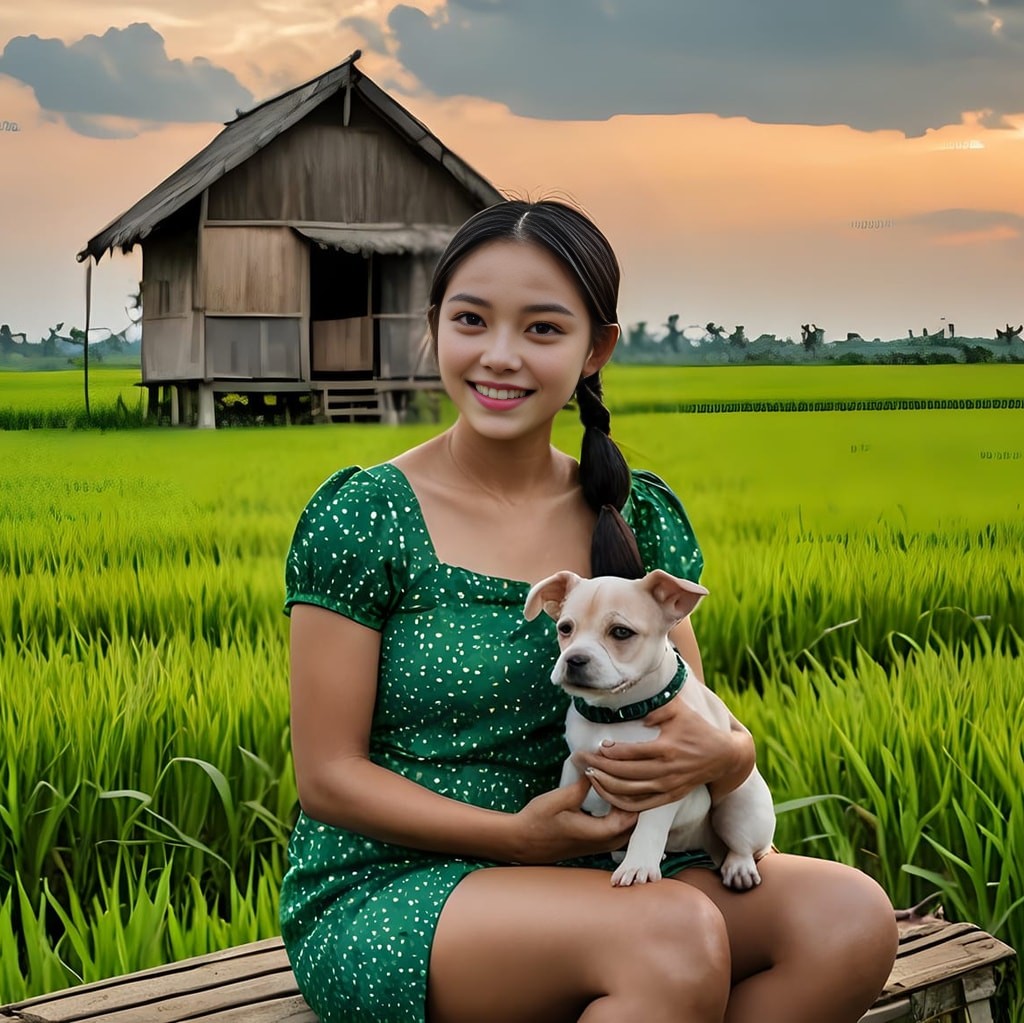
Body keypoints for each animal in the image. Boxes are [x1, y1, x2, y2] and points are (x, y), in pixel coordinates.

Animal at [524, 569, 770, 888]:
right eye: (565, 628)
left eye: (620, 632)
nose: (574, 658)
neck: (617, 713)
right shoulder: (575, 762)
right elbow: (568, 789)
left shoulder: (664, 781)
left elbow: (649, 825)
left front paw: (637, 865)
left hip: (742, 801)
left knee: (743, 844)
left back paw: (739, 867)